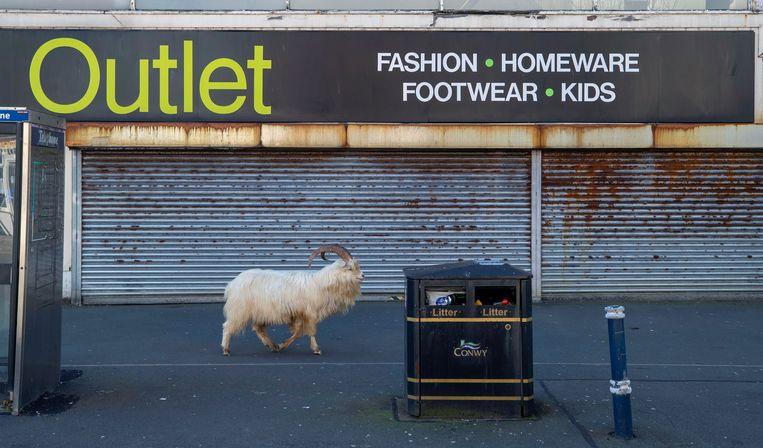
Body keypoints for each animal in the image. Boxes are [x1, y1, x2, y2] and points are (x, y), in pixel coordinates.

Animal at [221, 243, 364, 356]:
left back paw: (272, 346)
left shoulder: (299, 314)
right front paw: (316, 349)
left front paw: (281, 345)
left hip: (260, 312)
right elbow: (310, 331)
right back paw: (226, 350)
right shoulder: (309, 313)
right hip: (239, 309)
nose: (363, 275)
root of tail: (232, 284)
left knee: (258, 328)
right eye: (350, 268)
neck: (319, 283)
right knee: (228, 326)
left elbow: (298, 332)